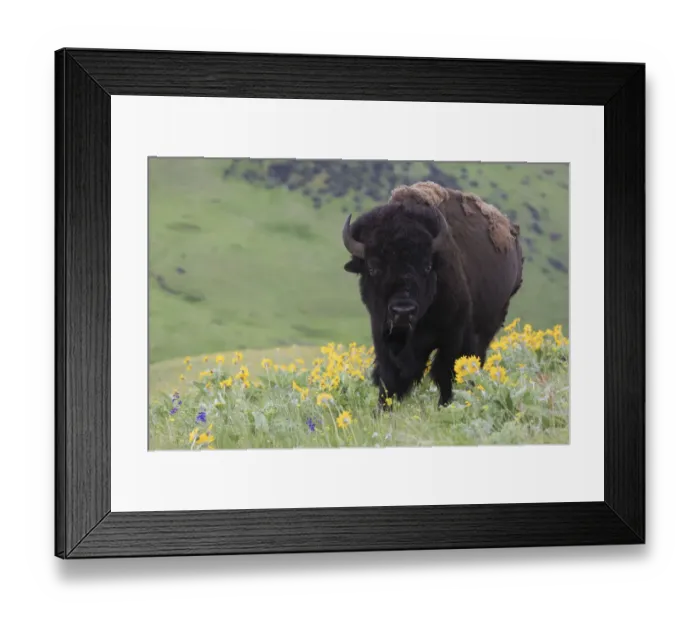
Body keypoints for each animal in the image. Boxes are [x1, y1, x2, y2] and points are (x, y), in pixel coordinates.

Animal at [342, 181, 524, 409]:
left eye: (427, 266)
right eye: (373, 268)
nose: (403, 311)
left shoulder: (453, 337)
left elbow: (446, 373)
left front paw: (445, 407)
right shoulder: (382, 334)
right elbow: (389, 377)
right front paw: (383, 409)